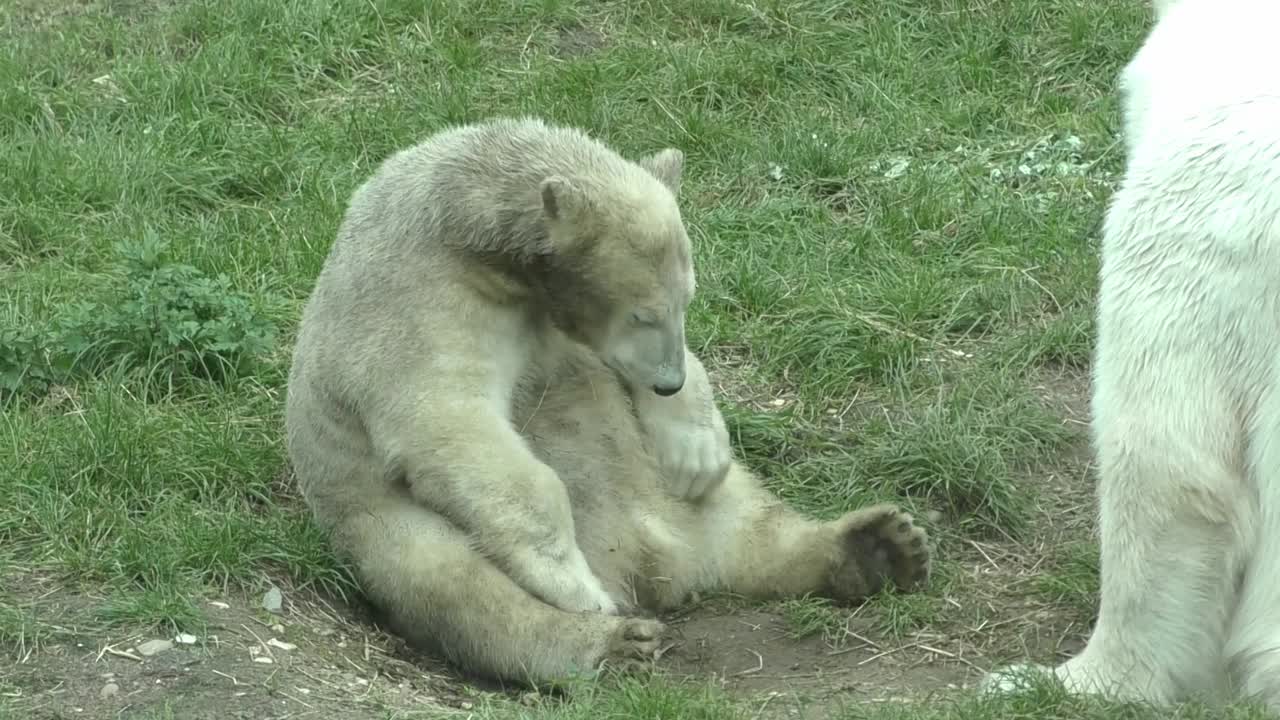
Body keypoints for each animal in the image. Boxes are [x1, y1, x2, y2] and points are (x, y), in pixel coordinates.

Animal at [283, 116, 932, 686]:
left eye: (686, 301)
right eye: (643, 313)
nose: (667, 382)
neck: (462, 224)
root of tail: (652, 568)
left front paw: (694, 444)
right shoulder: (415, 303)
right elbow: (448, 423)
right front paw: (571, 580)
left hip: (668, 498)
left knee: (745, 516)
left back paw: (880, 545)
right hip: (384, 527)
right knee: (456, 587)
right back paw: (610, 639)